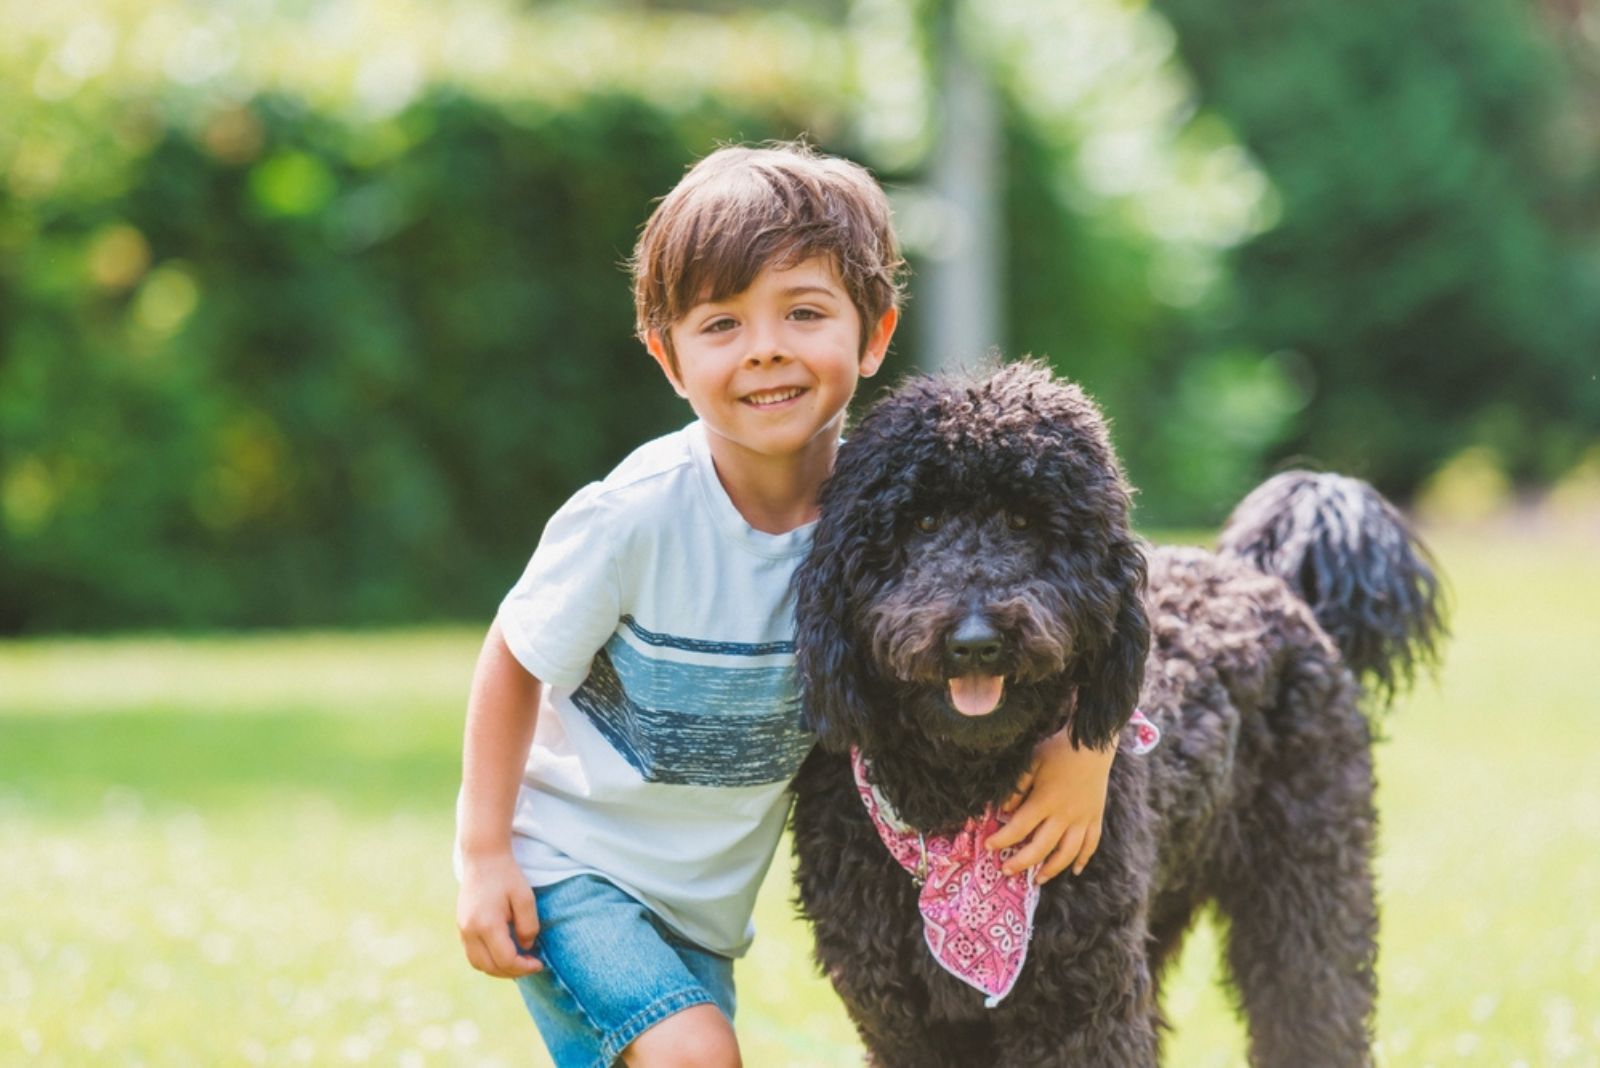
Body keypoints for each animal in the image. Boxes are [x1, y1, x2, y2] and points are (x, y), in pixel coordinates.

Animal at [790, 362, 1452, 1061]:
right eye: (920, 523)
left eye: (1023, 521)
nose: (975, 640)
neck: (960, 798)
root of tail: (1271, 581)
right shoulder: (908, 1027)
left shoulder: (1080, 1008)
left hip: (1305, 889)